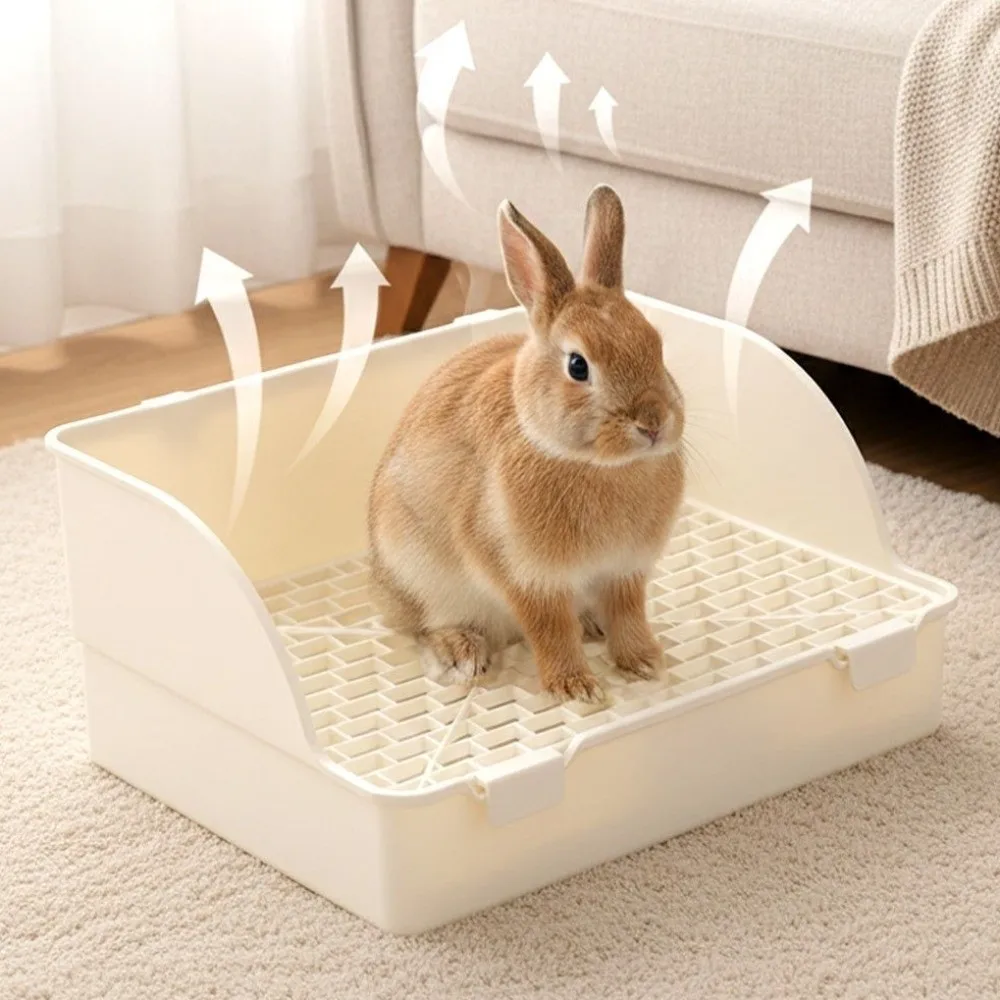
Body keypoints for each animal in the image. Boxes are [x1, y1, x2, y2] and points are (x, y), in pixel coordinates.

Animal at [367, 184, 685, 702]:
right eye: (578, 366)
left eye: (656, 345)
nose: (653, 423)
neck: (593, 464)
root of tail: (380, 588)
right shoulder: (526, 576)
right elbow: (549, 628)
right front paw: (575, 687)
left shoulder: (624, 571)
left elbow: (629, 614)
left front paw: (645, 662)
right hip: (422, 575)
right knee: (429, 625)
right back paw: (463, 651)